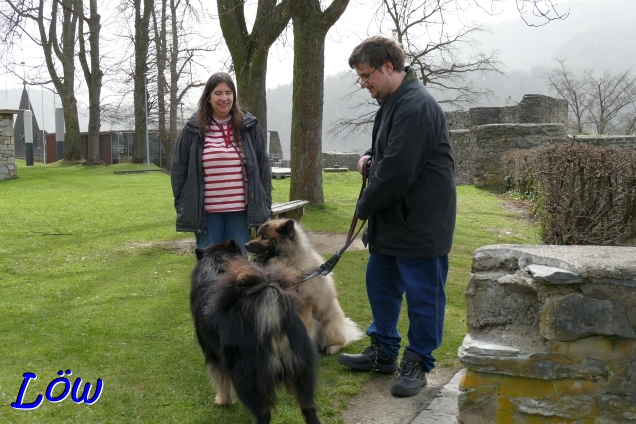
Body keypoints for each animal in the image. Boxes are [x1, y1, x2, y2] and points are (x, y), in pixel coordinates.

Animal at [188, 240, 318, 422]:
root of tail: (272, 319)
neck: (217, 266)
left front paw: (222, 400)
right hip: (300, 373)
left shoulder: (213, 355)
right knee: (309, 410)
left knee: (263, 414)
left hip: (249, 378)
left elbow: (221, 381)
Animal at [245, 219, 362, 354]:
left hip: (329, 325)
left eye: (264, 237)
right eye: (258, 235)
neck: (289, 263)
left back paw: (332, 348)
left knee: (342, 341)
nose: (246, 245)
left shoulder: (305, 309)